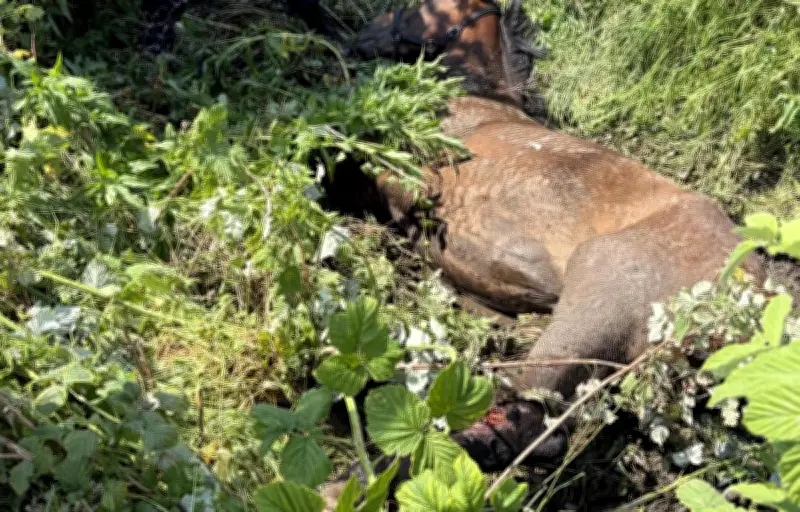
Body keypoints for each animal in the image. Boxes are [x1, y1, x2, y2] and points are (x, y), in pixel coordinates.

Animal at [321, 0, 769, 503]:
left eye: (415, 6)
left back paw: (352, 483)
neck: (484, 110)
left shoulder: (416, 176)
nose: (361, 36)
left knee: (532, 419)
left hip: (596, 305)